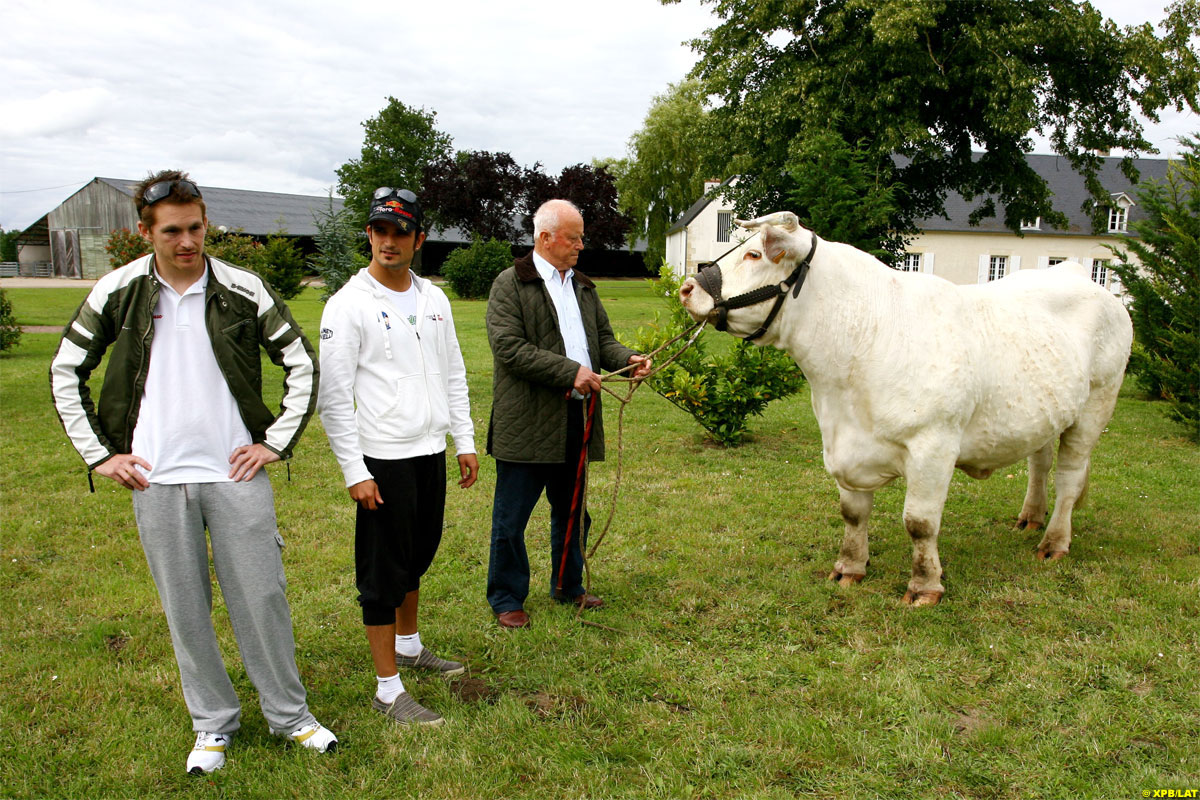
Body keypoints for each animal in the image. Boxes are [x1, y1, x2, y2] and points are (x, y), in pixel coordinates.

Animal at [681, 212, 1128, 606]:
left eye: (754, 254)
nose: (687, 288)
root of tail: (1074, 273)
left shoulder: (934, 445)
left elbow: (919, 523)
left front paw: (925, 586)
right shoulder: (842, 444)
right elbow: (852, 514)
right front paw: (849, 568)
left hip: (1097, 404)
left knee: (1069, 479)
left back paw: (1053, 542)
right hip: (1047, 410)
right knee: (1040, 463)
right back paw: (1031, 517)